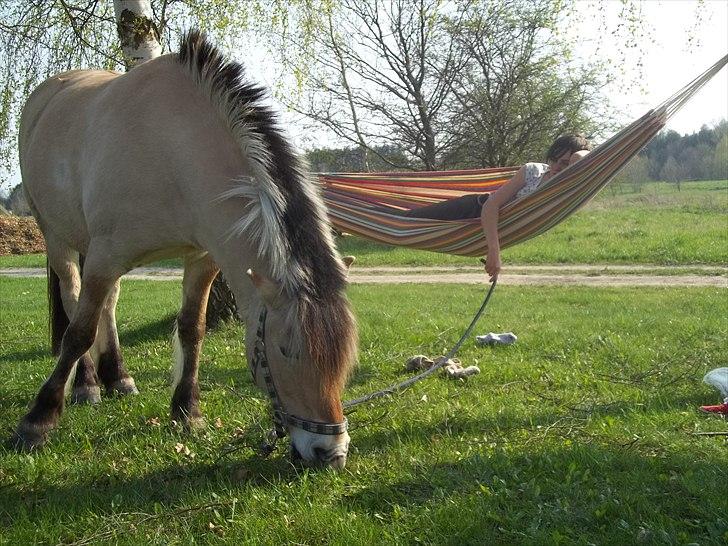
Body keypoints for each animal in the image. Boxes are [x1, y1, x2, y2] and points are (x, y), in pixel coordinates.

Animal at [14, 29, 358, 468]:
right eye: (286, 351)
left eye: (344, 354)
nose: (330, 453)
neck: (172, 149)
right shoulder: (106, 256)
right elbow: (78, 334)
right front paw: (38, 421)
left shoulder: (201, 259)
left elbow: (193, 329)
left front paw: (187, 411)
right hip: (59, 240)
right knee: (74, 299)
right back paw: (88, 384)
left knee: (108, 305)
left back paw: (118, 378)